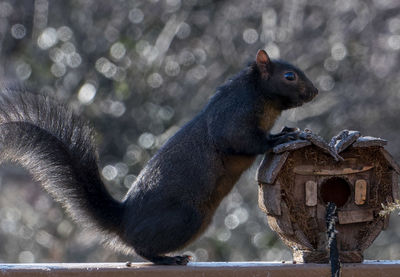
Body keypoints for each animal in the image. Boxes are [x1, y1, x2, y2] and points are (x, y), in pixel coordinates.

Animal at [0, 49, 318, 264]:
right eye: (289, 76)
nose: (315, 91)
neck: (259, 94)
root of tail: (124, 220)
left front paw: (289, 129)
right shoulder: (233, 117)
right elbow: (242, 140)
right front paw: (280, 137)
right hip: (186, 217)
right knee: (141, 248)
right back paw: (169, 259)